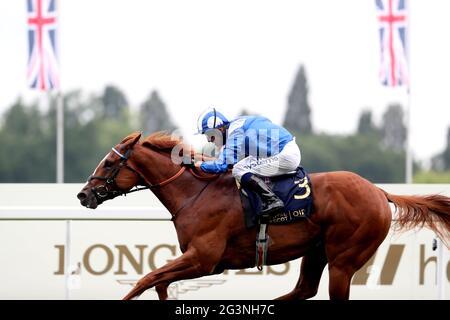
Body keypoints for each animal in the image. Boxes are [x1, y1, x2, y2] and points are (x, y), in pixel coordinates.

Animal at [77, 131, 450, 300]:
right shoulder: (202, 261)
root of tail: (379, 192)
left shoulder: (204, 258)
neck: (194, 192)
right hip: (317, 252)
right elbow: (158, 282)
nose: (83, 194)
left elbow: (147, 278)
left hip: (344, 259)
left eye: (108, 164)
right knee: (303, 290)